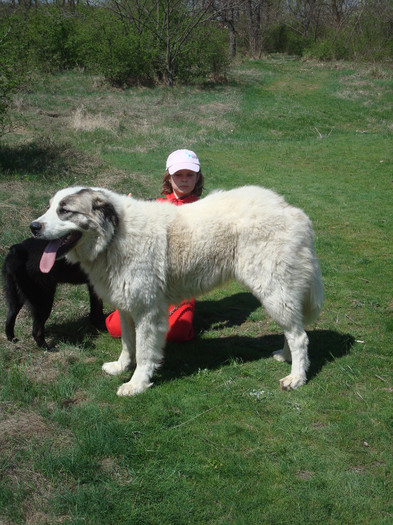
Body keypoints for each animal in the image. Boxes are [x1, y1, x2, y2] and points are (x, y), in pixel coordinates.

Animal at [30, 186, 324, 396]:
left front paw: (137, 384)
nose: (33, 227)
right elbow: (127, 344)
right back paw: (286, 357)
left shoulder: (147, 312)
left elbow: (144, 352)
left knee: (300, 336)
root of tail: (293, 211)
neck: (114, 236)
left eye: (65, 211)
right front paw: (120, 367)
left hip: (274, 290)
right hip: (280, 293)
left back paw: (296, 377)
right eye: (49, 207)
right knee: (293, 330)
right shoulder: (126, 308)